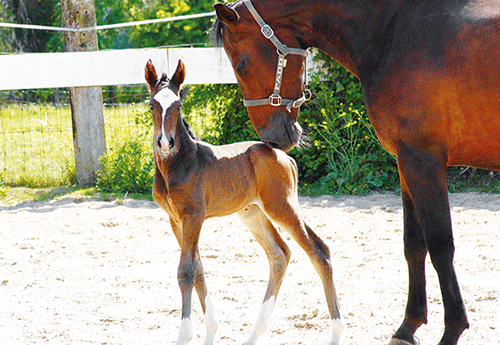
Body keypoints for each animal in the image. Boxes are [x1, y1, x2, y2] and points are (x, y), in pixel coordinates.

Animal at [145, 57, 346, 342]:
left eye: (178, 105)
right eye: (152, 105)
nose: (165, 143)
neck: (179, 163)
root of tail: (285, 156)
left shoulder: (193, 216)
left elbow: (186, 271)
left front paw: (184, 335)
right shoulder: (176, 220)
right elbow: (198, 268)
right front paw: (211, 331)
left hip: (281, 206)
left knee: (318, 251)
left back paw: (336, 332)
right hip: (253, 213)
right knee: (279, 254)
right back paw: (254, 335)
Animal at [212, 0, 500, 344]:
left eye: (241, 65)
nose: (272, 138)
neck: (395, 29)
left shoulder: (423, 160)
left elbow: (441, 246)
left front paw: (452, 330)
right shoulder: (406, 162)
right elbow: (413, 245)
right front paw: (408, 326)